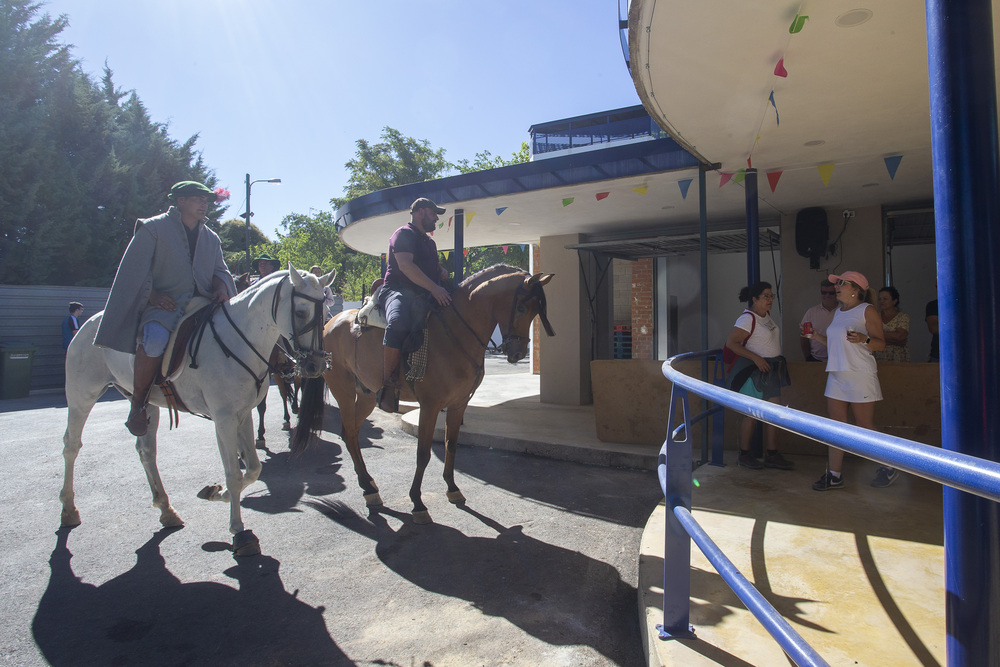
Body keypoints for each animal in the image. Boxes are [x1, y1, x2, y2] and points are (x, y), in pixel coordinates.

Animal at [60, 264, 334, 556]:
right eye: (300, 312)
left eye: (325, 312)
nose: (316, 365)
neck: (239, 340)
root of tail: (92, 323)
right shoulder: (224, 418)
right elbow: (234, 474)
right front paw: (238, 529)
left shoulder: (242, 414)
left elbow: (253, 469)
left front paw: (215, 492)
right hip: (81, 395)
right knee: (71, 446)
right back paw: (68, 509)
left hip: (146, 404)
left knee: (147, 451)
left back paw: (166, 509)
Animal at [292, 264, 556, 524]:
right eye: (521, 307)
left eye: (536, 310)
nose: (517, 353)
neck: (455, 332)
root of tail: (329, 324)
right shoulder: (429, 406)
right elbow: (423, 453)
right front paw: (417, 502)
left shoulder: (458, 404)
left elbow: (451, 444)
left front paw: (452, 488)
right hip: (344, 391)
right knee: (348, 432)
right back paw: (367, 487)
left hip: (366, 395)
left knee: (352, 434)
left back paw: (369, 487)